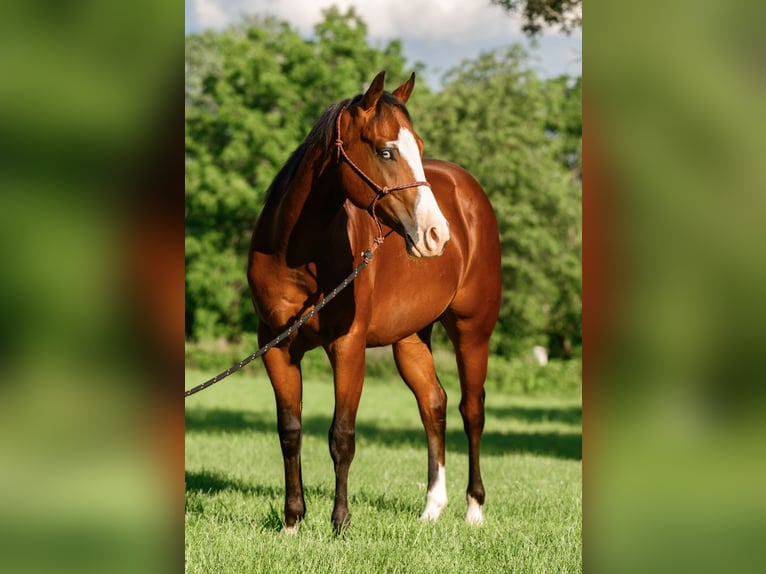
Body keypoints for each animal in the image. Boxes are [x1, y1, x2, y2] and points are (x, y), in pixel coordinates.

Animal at [248, 71, 501, 533]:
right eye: (385, 150)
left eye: (418, 146)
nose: (437, 234)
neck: (297, 255)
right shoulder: (275, 346)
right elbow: (290, 431)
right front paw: (292, 522)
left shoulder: (347, 347)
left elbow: (341, 435)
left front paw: (340, 524)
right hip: (410, 339)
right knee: (433, 404)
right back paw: (431, 508)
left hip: (473, 331)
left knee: (471, 410)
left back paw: (474, 509)